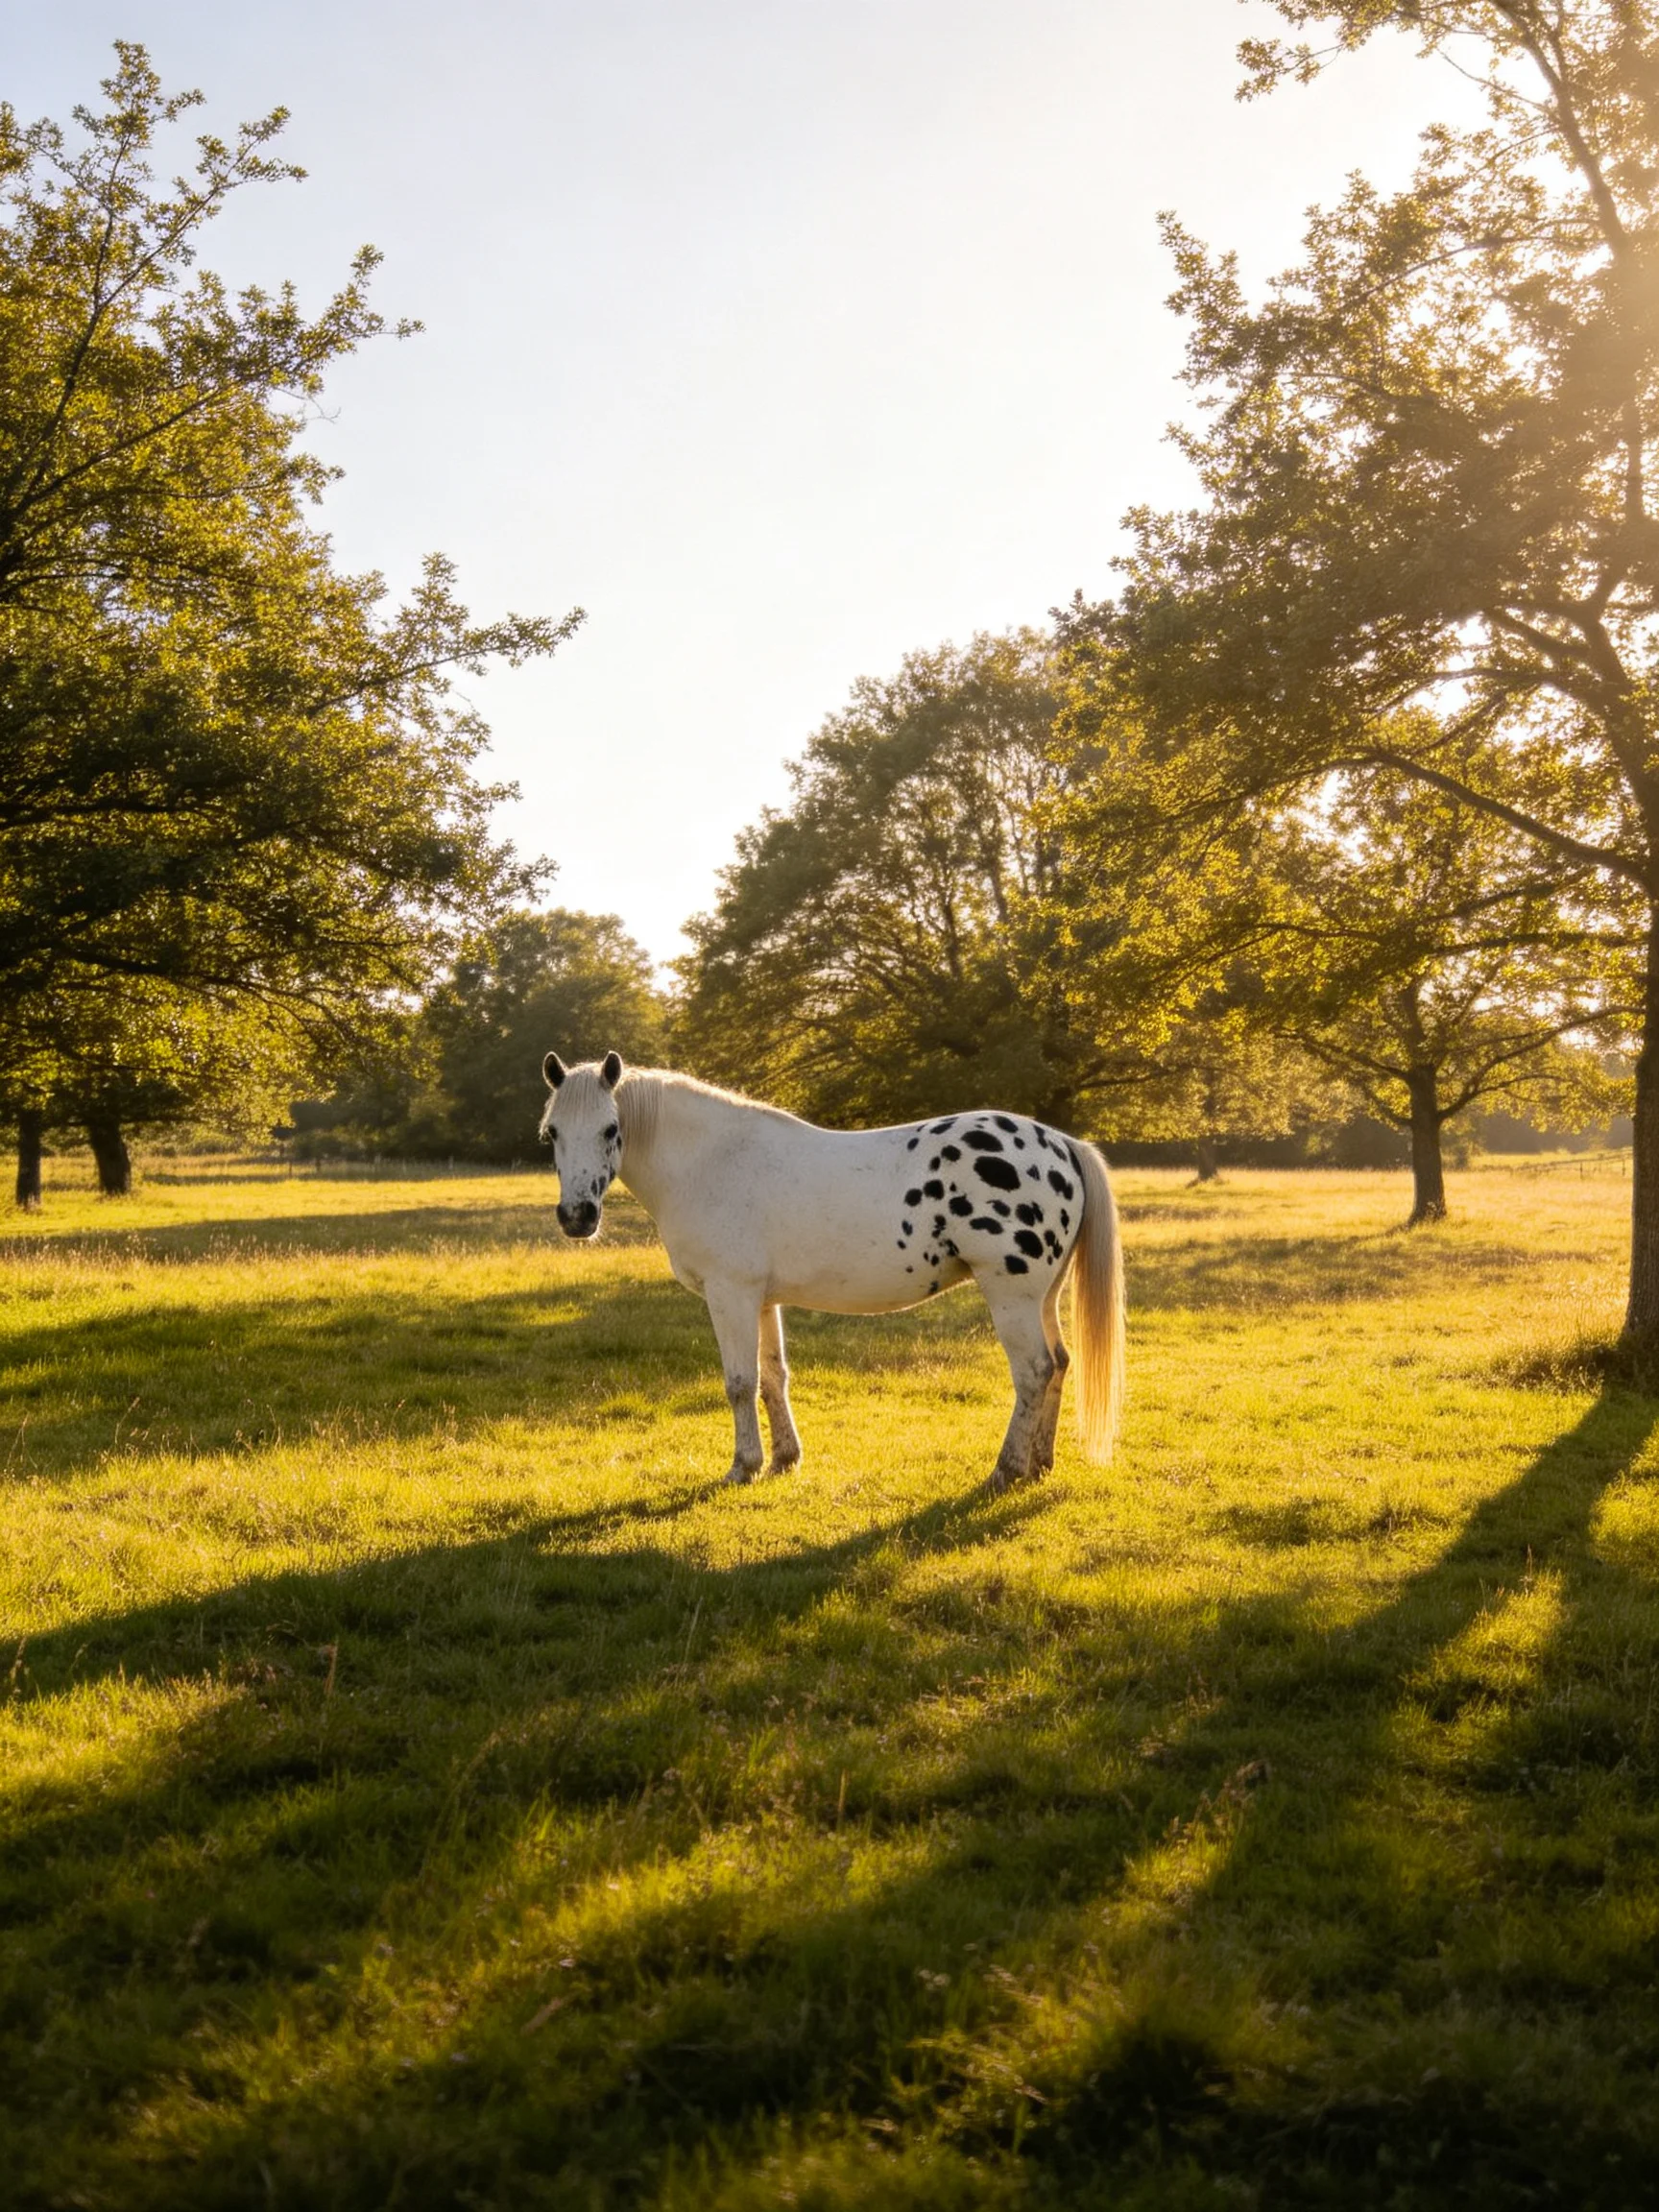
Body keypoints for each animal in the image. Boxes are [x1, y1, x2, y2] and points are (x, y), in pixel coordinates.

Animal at [538, 1052, 1126, 1490]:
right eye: (551, 1134)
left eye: (611, 1128)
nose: (577, 1216)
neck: (711, 1162)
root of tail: (1061, 1143)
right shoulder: (763, 1299)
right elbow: (773, 1377)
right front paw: (784, 1459)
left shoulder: (731, 1295)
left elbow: (739, 1382)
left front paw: (743, 1467)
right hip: (1043, 1297)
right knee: (1060, 1363)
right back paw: (1040, 1463)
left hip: (1012, 1297)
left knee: (1033, 1371)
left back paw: (1006, 1471)